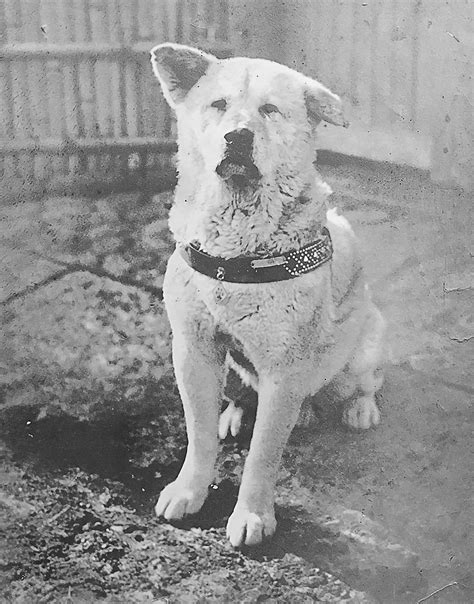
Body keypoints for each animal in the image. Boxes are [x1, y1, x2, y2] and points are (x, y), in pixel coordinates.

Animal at [151, 42, 386, 548]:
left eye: (270, 110)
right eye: (218, 104)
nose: (237, 137)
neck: (236, 248)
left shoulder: (284, 368)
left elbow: (263, 455)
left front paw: (253, 516)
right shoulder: (193, 350)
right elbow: (199, 434)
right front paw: (188, 490)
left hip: (364, 346)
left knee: (365, 382)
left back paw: (358, 408)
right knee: (243, 394)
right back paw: (239, 413)